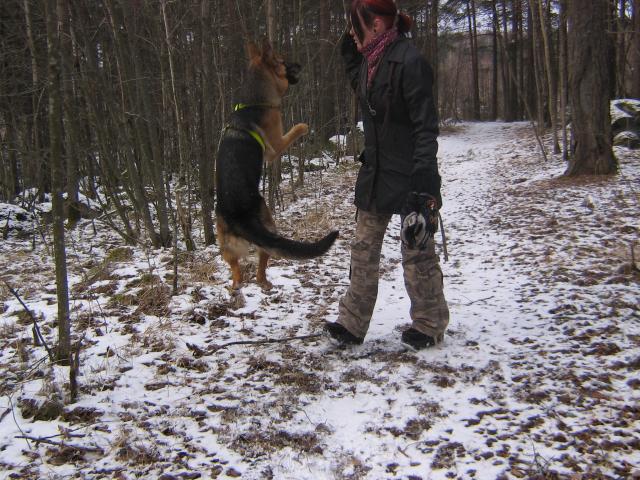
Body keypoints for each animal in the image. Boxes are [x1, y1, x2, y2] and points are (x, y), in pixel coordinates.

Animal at [216, 38, 340, 288]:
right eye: (282, 61)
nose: (299, 64)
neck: (253, 103)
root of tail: (238, 218)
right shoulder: (275, 146)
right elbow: (294, 131)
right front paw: (304, 127)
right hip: (269, 226)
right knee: (262, 263)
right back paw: (264, 282)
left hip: (226, 248)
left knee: (237, 271)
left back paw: (236, 286)